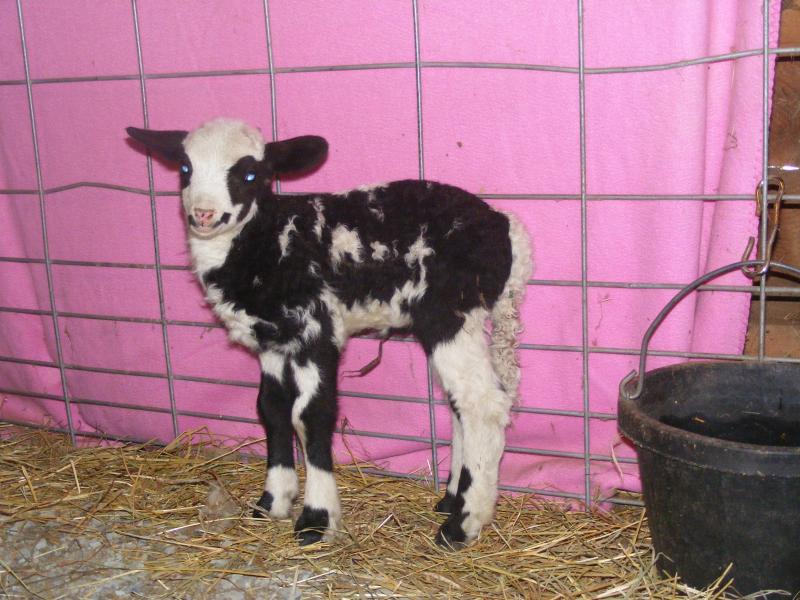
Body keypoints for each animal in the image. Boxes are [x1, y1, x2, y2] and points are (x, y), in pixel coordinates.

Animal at [126, 118, 532, 548]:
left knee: (482, 405)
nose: (204, 214)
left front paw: (316, 518)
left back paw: (462, 524)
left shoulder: (316, 331)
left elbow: (310, 414)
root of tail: (507, 230)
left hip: (451, 312)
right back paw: (452, 499)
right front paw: (272, 502)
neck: (265, 241)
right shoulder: (274, 340)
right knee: (461, 406)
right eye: (185, 168)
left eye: (250, 174)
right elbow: (272, 409)